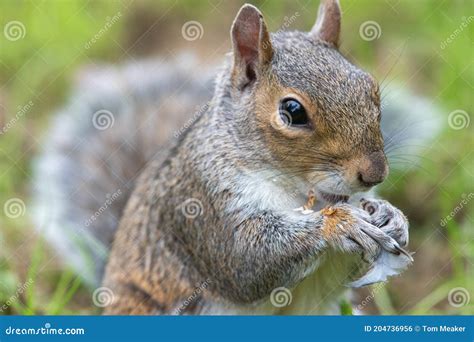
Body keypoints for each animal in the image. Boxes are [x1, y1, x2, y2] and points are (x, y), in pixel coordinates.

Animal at [32, 0, 444, 316]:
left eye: (370, 88)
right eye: (292, 111)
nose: (375, 173)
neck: (297, 190)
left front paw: (391, 216)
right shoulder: (200, 202)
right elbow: (246, 262)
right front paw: (340, 224)